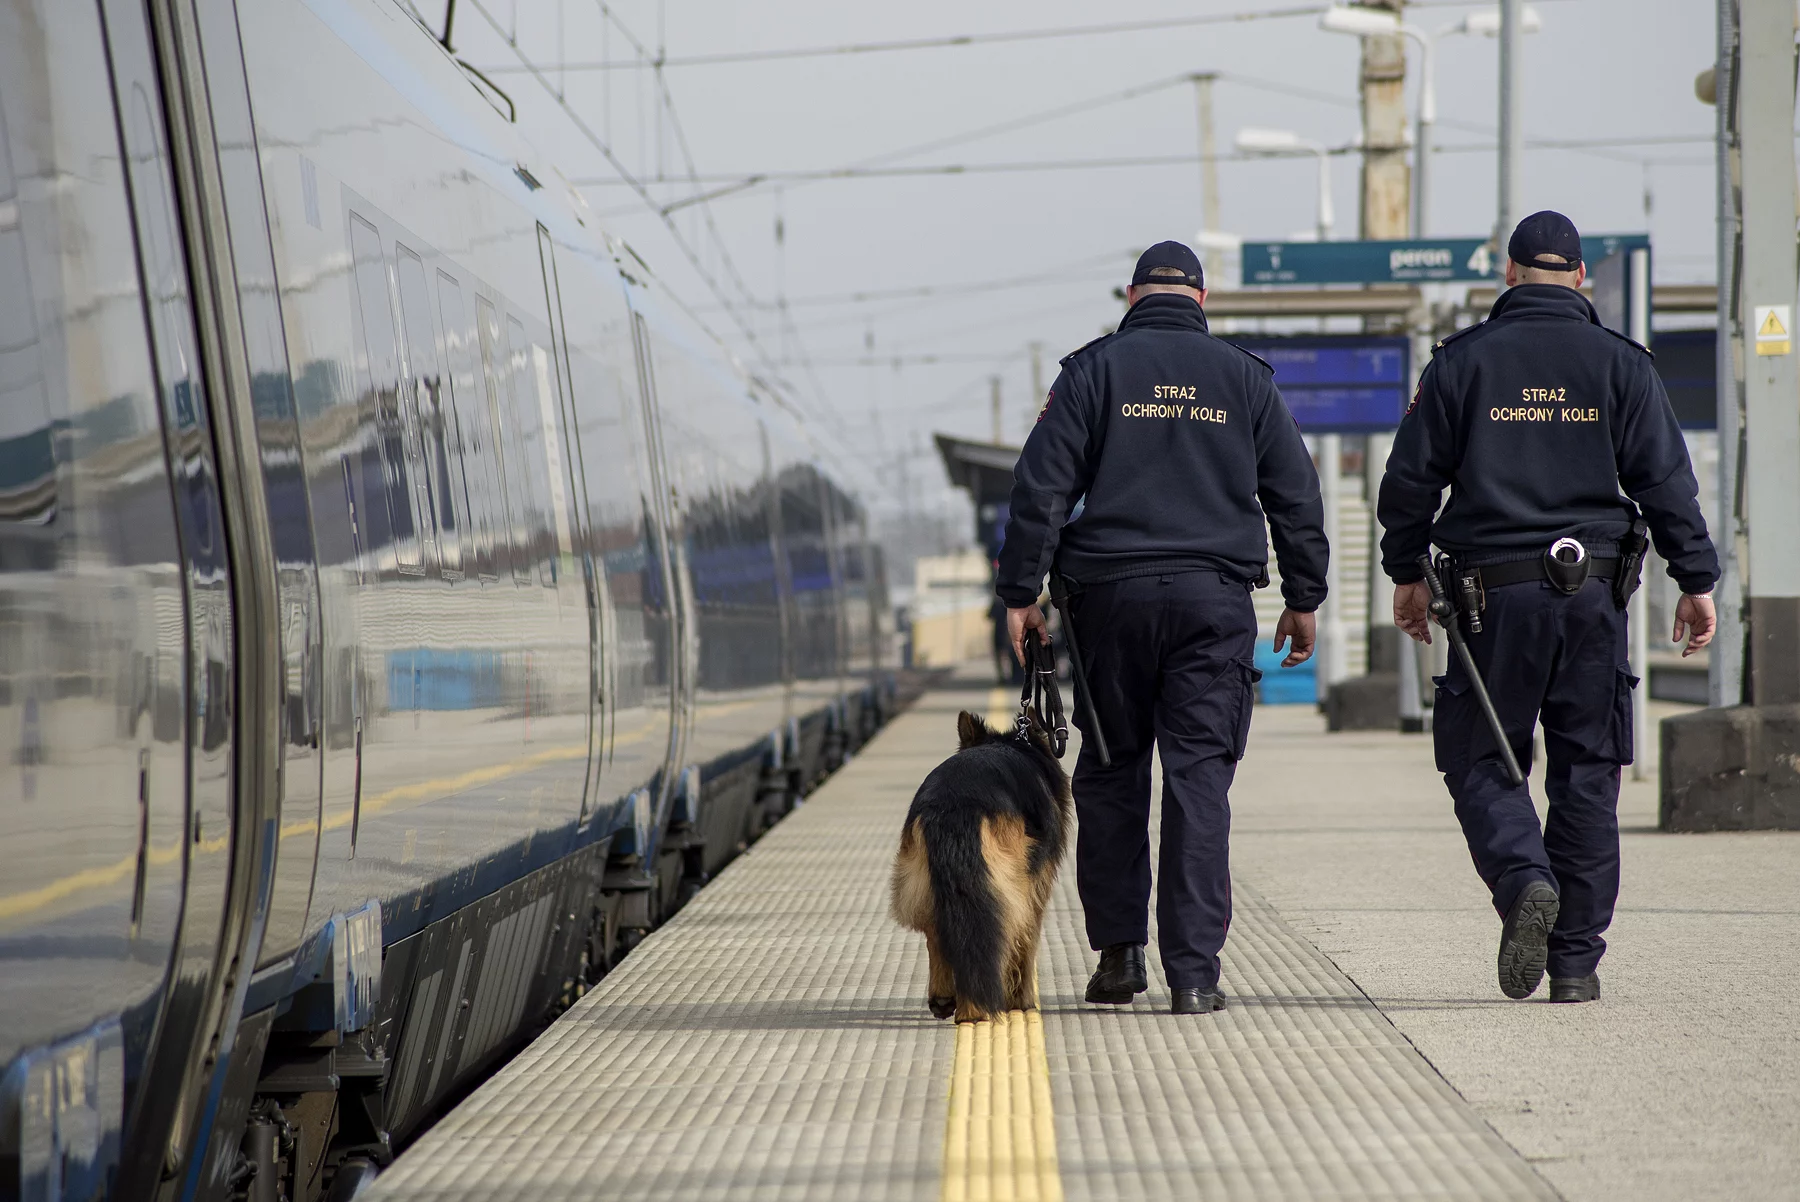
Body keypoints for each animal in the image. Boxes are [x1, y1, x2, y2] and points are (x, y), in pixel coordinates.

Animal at [885, 708, 1065, 1029]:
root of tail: (954, 803)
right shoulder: (1036, 888)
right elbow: (1026, 944)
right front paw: (1022, 1002)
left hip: (925, 883)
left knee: (938, 933)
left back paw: (946, 999)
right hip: (1009, 887)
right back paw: (976, 1010)